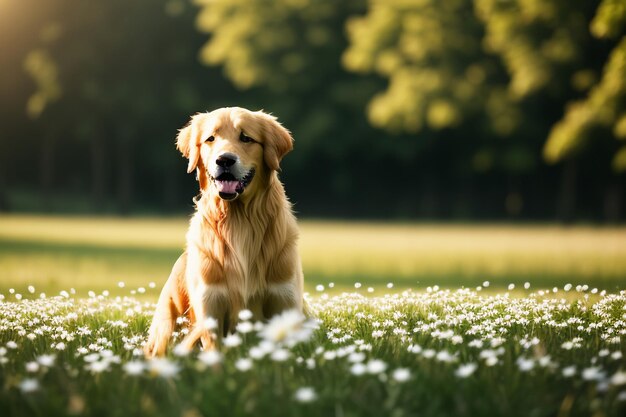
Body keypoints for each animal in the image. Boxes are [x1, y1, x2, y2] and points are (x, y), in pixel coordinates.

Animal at [144, 106, 304, 354]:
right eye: (211, 138)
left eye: (246, 138)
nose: (224, 160)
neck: (239, 222)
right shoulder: (211, 304)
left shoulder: (283, 298)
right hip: (166, 326)